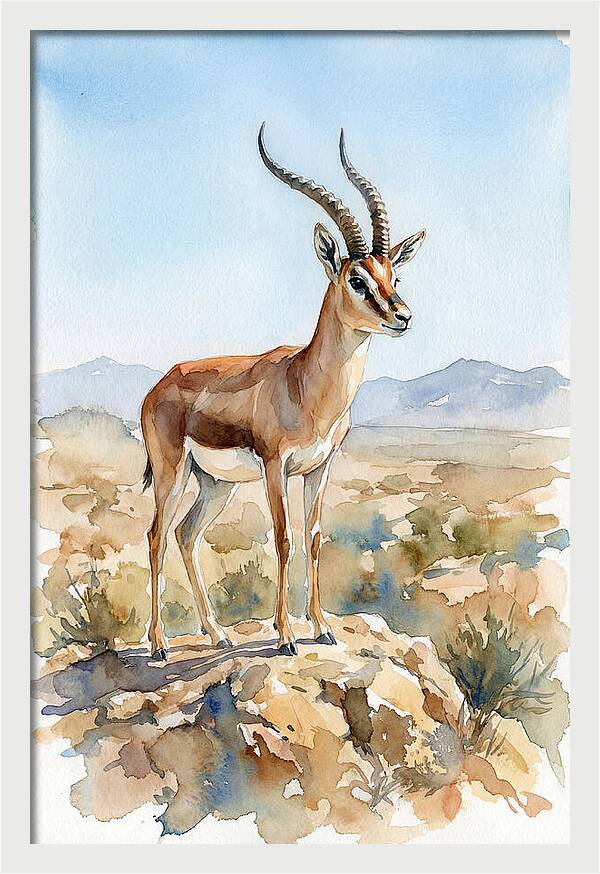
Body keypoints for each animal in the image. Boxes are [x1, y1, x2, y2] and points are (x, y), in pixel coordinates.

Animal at [141, 124, 426, 659]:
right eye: (357, 279)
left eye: (393, 275)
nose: (402, 316)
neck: (305, 384)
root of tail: (160, 384)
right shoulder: (276, 465)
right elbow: (283, 538)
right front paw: (287, 636)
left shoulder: (319, 467)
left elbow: (313, 537)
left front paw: (323, 627)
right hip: (172, 471)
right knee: (156, 536)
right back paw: (160, 644)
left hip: (216, 483)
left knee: (187, 535)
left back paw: (217, 633)